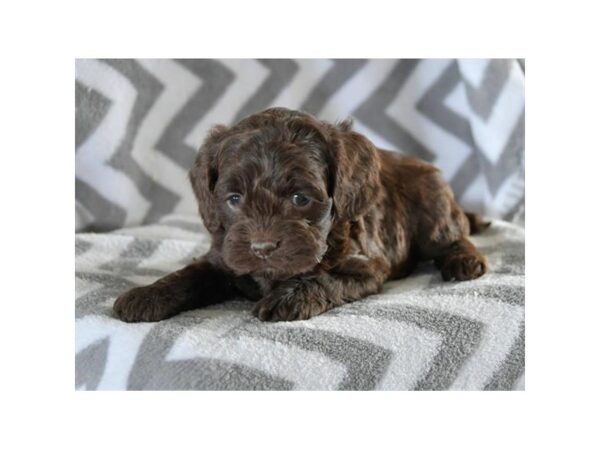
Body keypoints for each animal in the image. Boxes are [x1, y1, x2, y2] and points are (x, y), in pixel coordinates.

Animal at [112, 107, 488, 322]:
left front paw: (289, 298)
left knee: (454, 235)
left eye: (300, 198)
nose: (262, 248)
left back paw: (464, 261)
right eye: (233, 199)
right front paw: (145, 295)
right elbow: (189, 275)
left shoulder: (366, 265)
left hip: (434, 203)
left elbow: (323, 278)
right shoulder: (224, 258)